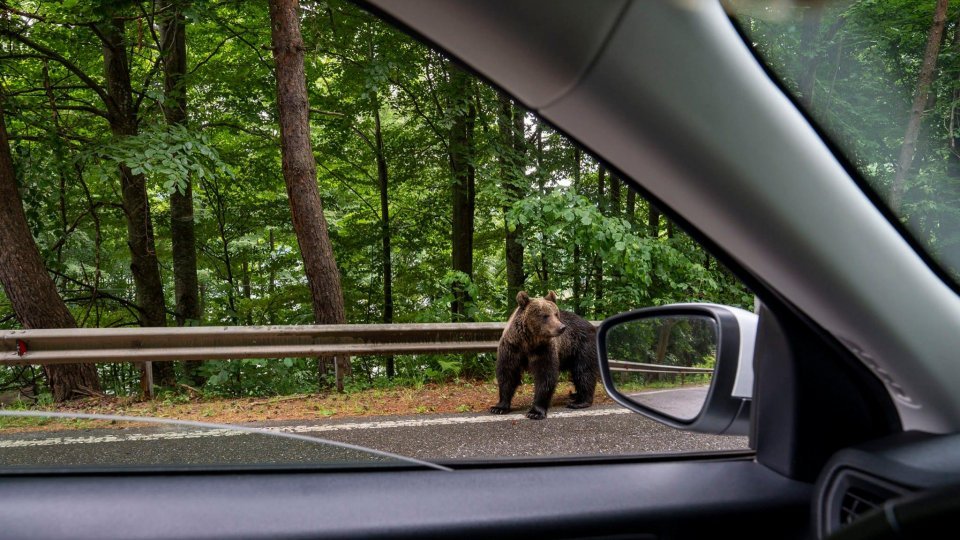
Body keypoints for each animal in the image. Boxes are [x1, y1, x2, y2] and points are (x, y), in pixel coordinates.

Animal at [489, 290, 599, 420]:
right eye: (545, 315)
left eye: (556, 314)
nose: (562, 327)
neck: (529, 342)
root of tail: (591, 325)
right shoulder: (512, 348)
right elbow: (507, 373)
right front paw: (499, 407)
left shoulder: (543, 349)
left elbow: (545, 375)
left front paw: (535, 412)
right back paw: (575, 395)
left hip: (581, 346)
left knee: (583, 371)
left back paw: (580, 401)